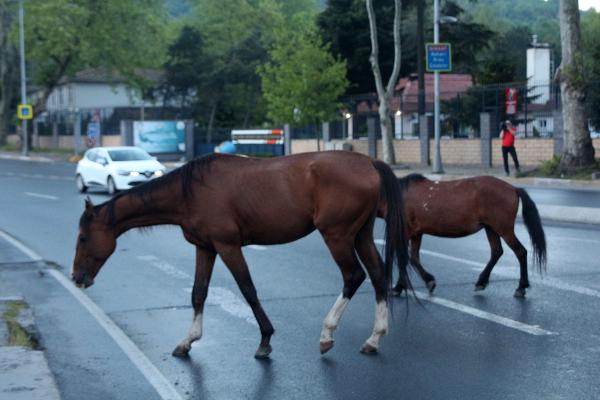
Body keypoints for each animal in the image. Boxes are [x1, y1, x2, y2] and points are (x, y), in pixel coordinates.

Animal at [69, 152, 408, 358]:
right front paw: (188, 340)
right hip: (360, 235)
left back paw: (327, 334)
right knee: (378, 275)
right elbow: (198, 293)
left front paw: (265, 340)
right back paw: (374, 338)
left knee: (353, 276)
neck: (189, 191)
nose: (77, 277)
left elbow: (248, 290)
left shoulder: (227, 246)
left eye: (83, 237)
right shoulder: (205, 248)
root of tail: (369, 163)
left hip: (336, 236)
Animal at [392, 173, 548, 298]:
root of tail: (514, 189)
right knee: (497, 252)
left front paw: (398, 287)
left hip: (504, 229)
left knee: (520, 252)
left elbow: (403, 258)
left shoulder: (406, 233)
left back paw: (521, 287)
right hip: (491, 228)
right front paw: (427, 281)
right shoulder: (416, 233)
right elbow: (413, 258)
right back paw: (481, 282)